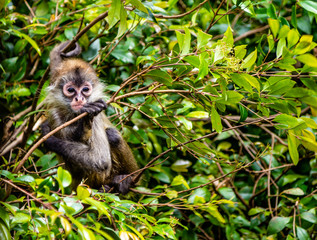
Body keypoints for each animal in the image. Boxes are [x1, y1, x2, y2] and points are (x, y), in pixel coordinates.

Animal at [41, 41, 138, 194]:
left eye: (85, 90)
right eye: (70, 90)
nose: (79, 98)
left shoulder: (96, 110)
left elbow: (99, 160)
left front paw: (50, 140)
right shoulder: (55, 114)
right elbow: (98, 160)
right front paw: (82, 126)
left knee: (113, 135)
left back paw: (124, 182)